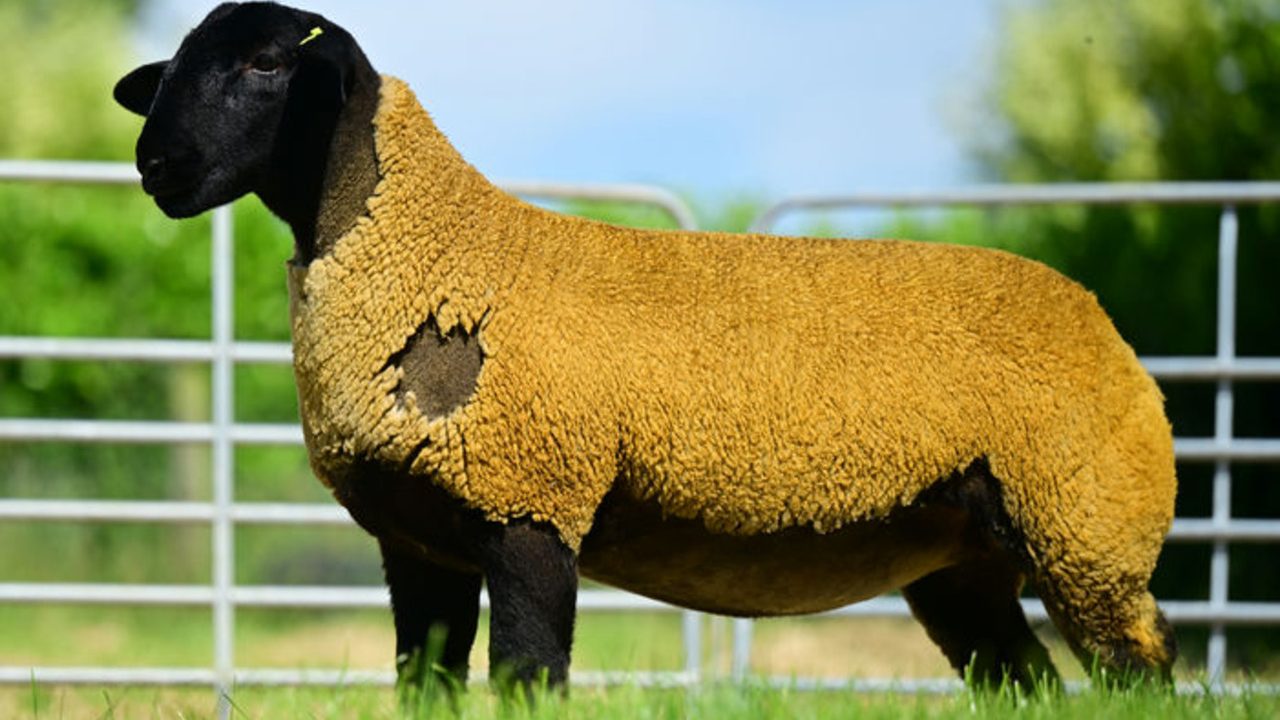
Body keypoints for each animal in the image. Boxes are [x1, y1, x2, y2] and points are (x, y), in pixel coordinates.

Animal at [114, 1, 1178, 693]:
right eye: (171, 70)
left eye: (264, 65)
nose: (155, 166)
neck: (440, 253)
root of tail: (1107, 327)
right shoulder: (419, 539)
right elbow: (425, 686)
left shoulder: (532, 504)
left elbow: (527, 680)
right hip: (965, 558)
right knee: (1026, 682)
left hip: (1084, 523)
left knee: (1141, 670)